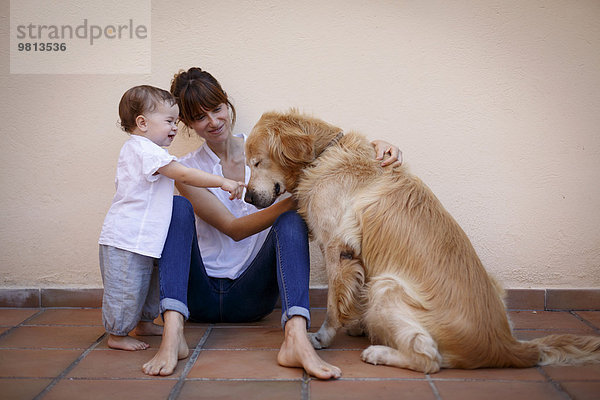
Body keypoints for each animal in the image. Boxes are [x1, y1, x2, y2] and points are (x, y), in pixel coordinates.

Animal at [244, 108, 600, 372]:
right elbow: (351, 295)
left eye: (256, 162)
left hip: (387, 285)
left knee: (429, 359)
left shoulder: (338, 249)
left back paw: (378, 352)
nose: (246, 198)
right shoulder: (353, 257)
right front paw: (356, 323)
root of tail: (509, 346)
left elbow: (334, 303)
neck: (323, 154)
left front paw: (323, 337)